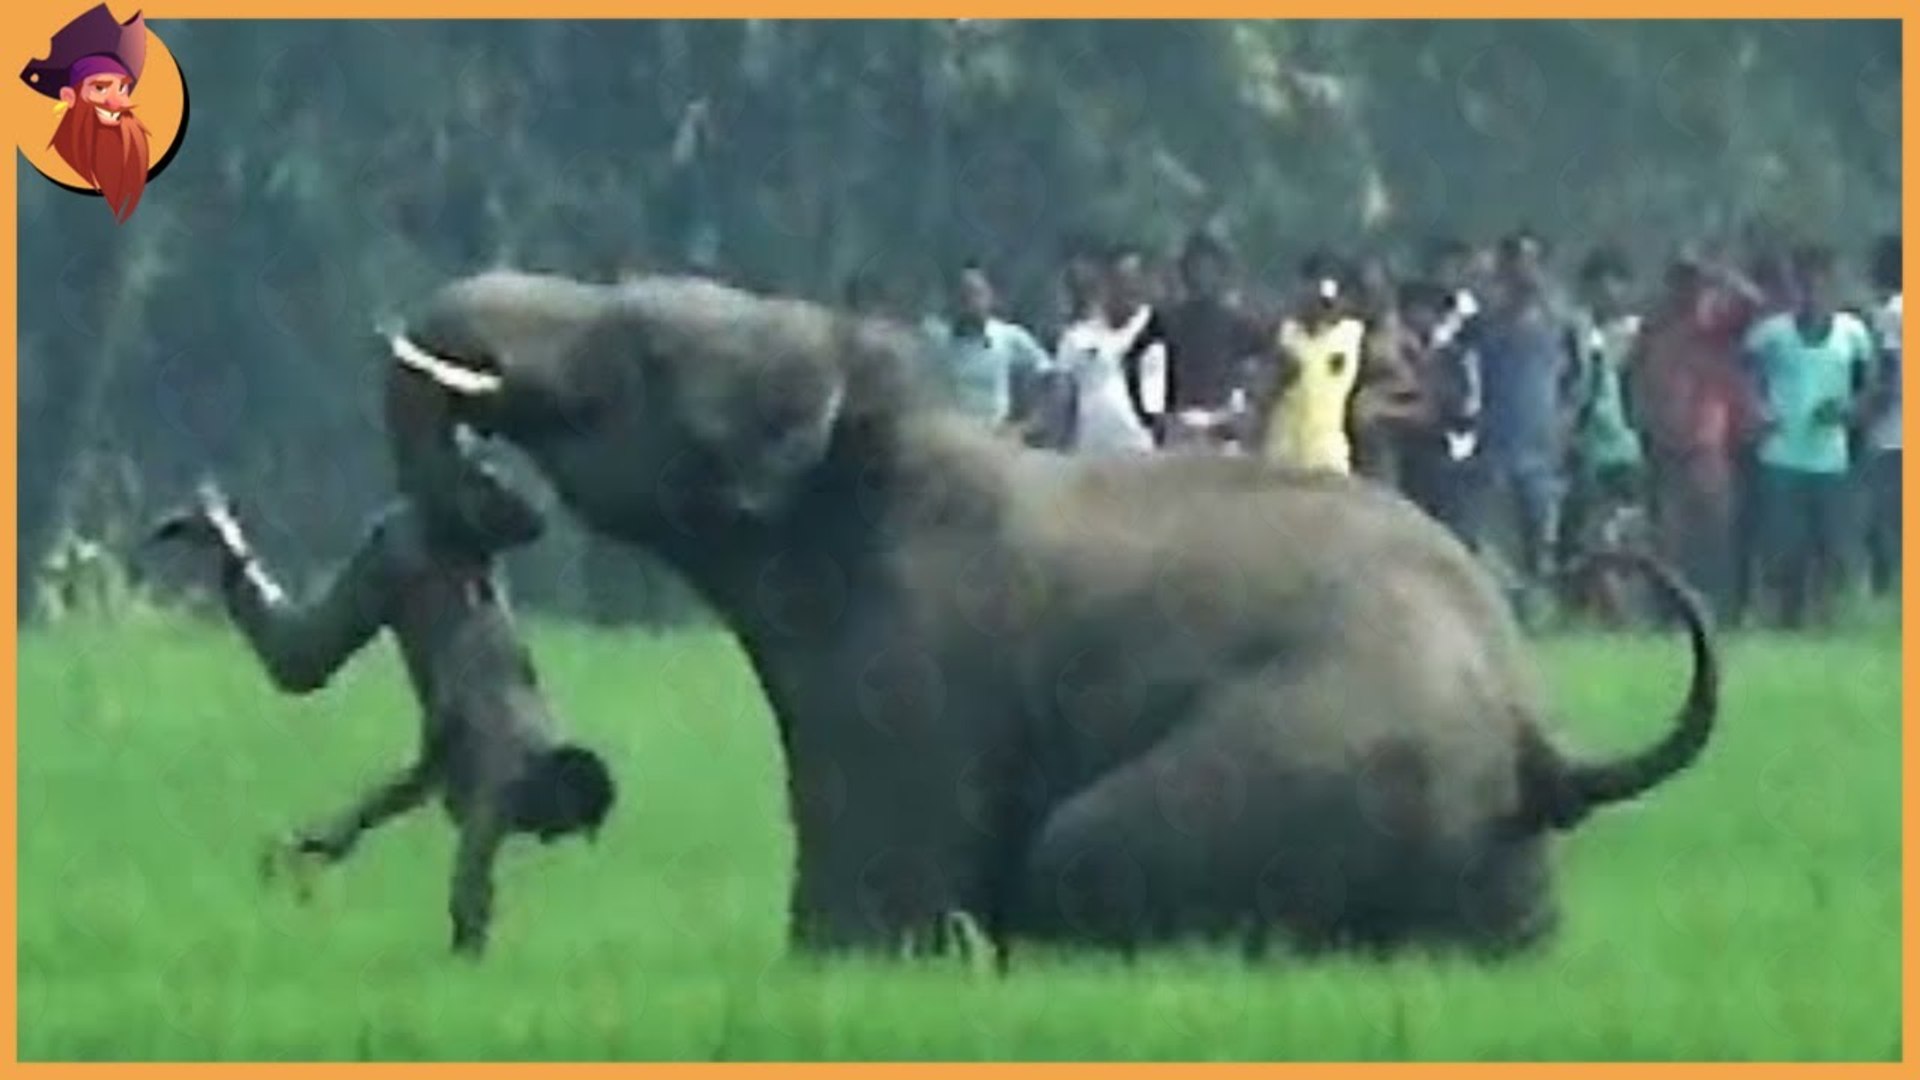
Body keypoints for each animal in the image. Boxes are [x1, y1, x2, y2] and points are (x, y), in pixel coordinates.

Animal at [380, 269, 1719, 959]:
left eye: (642, 352)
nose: (491, 507)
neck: (874, 431)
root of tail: (1541, 747)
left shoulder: (911, 665)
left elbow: (878, 904)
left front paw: (852, 955)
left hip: (1318, 759)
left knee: (1085, 852)